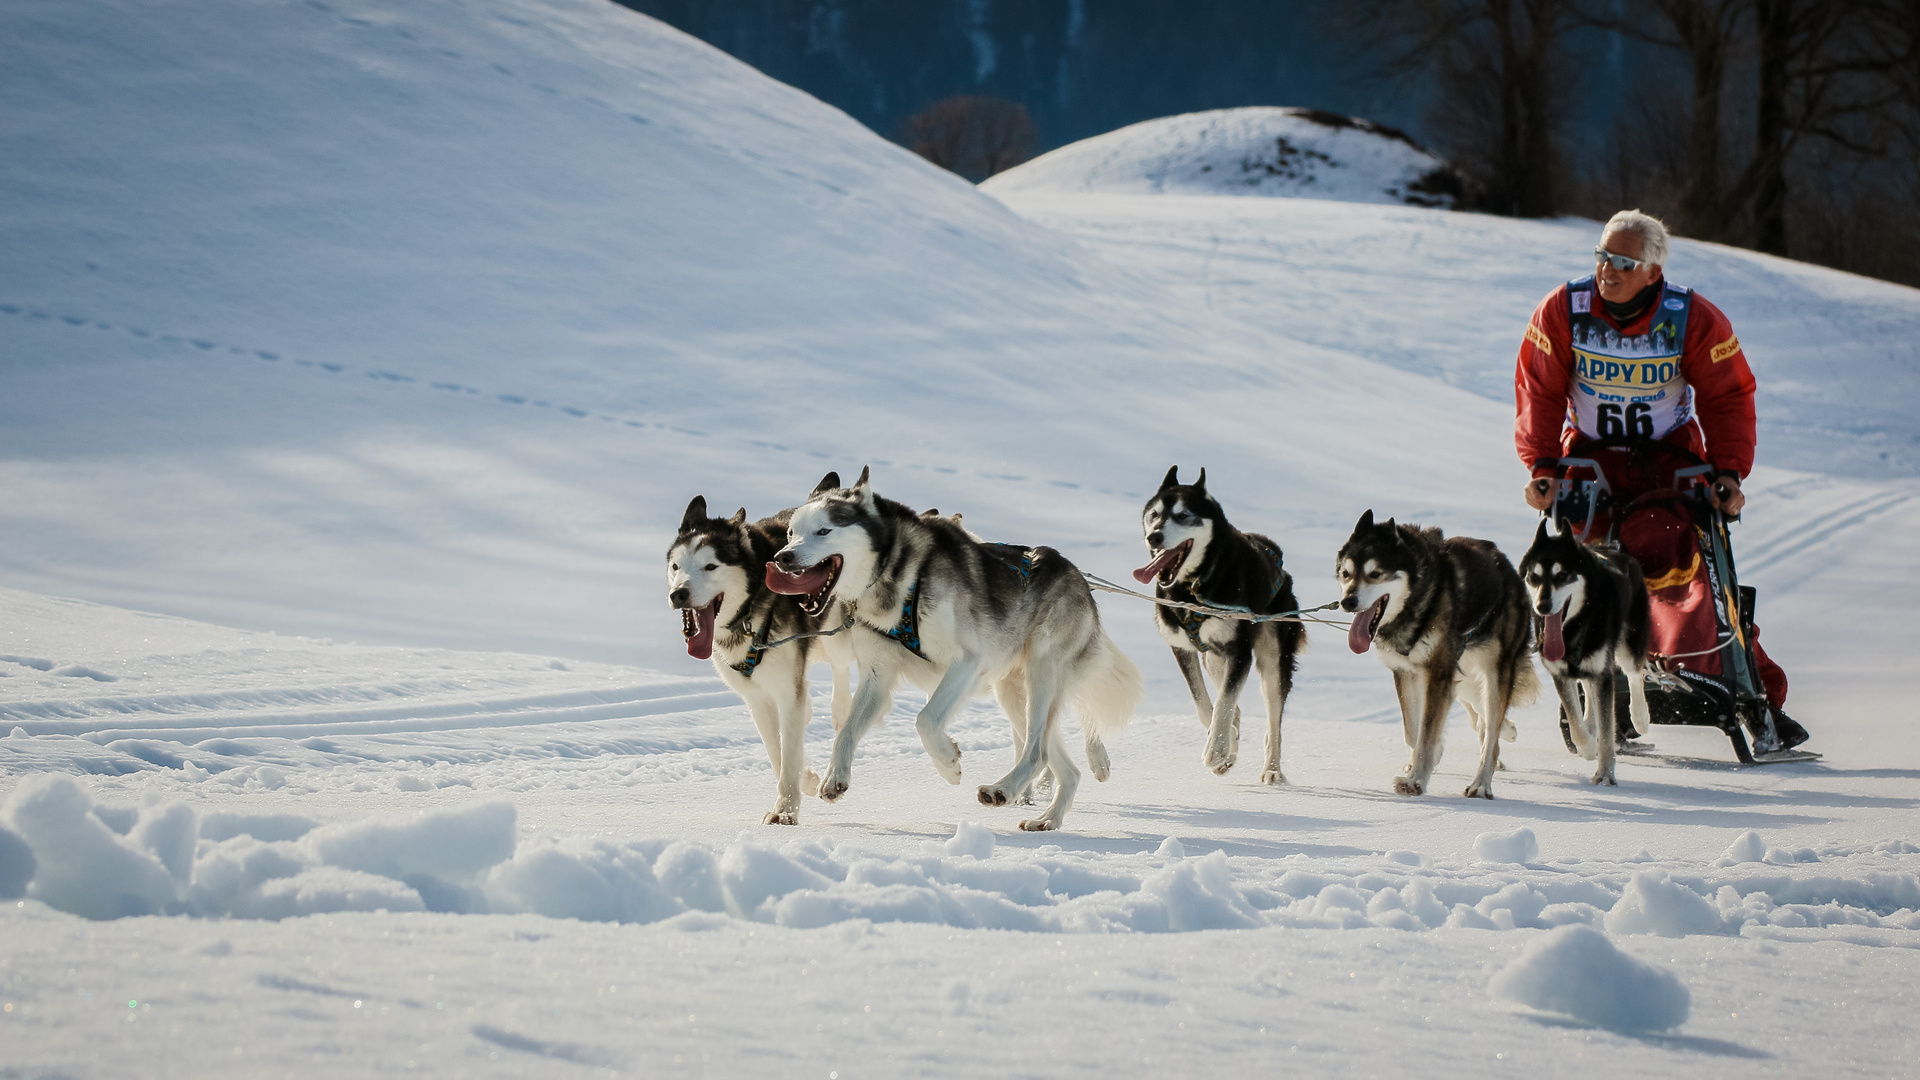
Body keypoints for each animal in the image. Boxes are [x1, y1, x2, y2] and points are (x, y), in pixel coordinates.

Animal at [675, 491, 856, 818]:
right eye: (676, 566)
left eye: (710, 567)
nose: (678, 594)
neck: (748, 614)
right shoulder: (757, 698)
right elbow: (777, 752)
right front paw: (803, 781)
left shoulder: (787, 690)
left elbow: (789, 751)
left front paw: (785, 812)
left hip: (836, 635)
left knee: (840, 665)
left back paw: (840, 708)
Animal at [764, 466, 1136, 826]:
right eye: (791, 533)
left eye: (823, 531)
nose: (783, 557)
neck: (898, 576)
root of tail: (1076, 575)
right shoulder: (877, 675)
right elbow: (847, 730)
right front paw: (835, 777)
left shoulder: (966, 663)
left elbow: (925, 720)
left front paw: (948, 763)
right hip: (1015, 695)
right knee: (1061, 763)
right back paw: (1048, 819)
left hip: (1042, 673)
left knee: (1036, 751)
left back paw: (1003, 790)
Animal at [1128, 466, 1313, 776]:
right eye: (1154, 514)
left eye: (1182, 516)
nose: (1154, 536)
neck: (1192, 588)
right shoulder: (1183, 649)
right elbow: (1207, 705)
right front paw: (1225, 747)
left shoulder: (1239, 653)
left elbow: (1225, 703)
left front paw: (1216, 752)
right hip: (1214, 659)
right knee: (1232, 708)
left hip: (1271, 657)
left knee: (1273, 722)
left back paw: (1272, 769)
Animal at [1344, 507, 1536, 795]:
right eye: (1346, 574)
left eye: (1375, 574)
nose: (1347, 601)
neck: (1420, 597)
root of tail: (1508, 567)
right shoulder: (1406, 672)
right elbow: (1414, 732)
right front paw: (1423, 762)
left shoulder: (1437, 674)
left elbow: (1427, 731)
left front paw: (1416, 781)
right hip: (1463, 669)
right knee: (1480, 712)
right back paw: (1506, 731)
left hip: (1492, 670)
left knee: (1490, 734)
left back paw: (1481, 783)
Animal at [1520, 515, 1658, 780]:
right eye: (1534, 577)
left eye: (1562, 575)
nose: (1542, 606)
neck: (1573, 629)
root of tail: (1615, 549)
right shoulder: (1561, 674)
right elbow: (1575, 724)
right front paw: (1588, 746)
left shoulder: (1603, 673)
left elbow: (1607, 728)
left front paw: (1605, 775)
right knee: (1587, 688)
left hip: (1628, 646)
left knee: (1635, 675)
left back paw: (1640, 716)